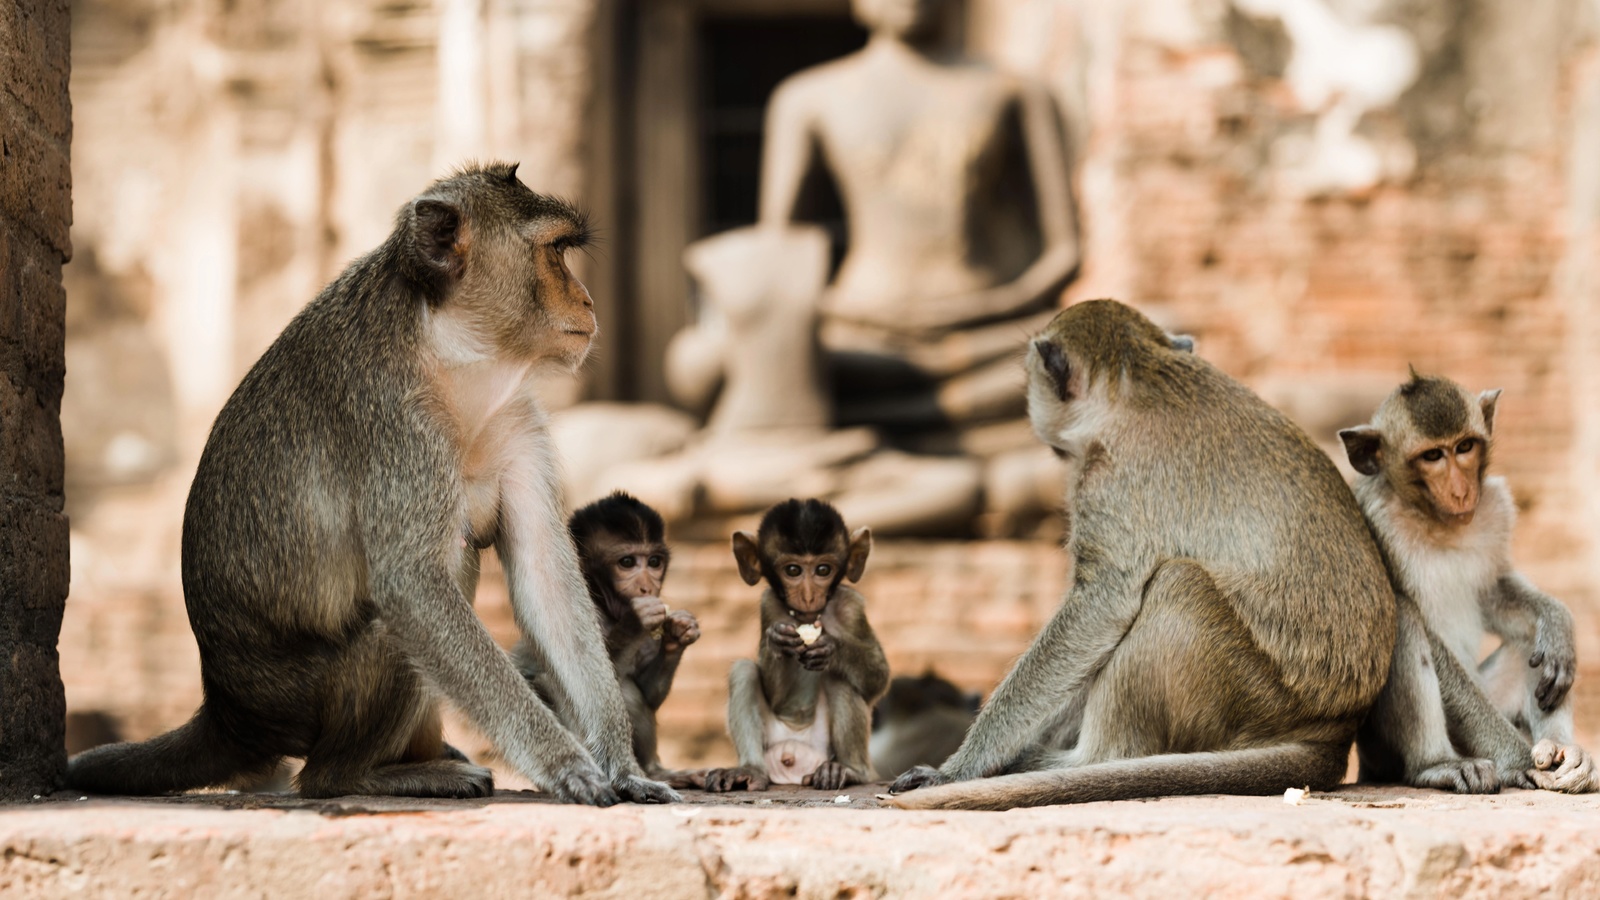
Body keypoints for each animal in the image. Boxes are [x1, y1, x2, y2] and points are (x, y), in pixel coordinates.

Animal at [60, 159, 675, 797]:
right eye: (555, 252)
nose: (587, 300)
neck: (450, 355)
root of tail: (229, 710)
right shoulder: (392, 419)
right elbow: (412, 585)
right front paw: (566, 765)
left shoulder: (518, 420)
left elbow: (547, 579)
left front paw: (622, 765)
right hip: (301, 698)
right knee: (388, 638)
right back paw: (363, 774)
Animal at [521, 486, 704, 775]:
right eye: (627, 562)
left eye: (654, 562)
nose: (647, 587)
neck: (606, 609)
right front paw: (635, 621)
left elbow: (648, 692)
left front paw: (678, 633)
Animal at [707, 496, 896, 791]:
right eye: (793, 570)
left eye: (823, 570)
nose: (808, 596)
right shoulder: (770, 605)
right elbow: (776, 696)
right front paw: (777, 642)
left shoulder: (852, 607)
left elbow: (878, 678)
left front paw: (833, 649)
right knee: (743, 671)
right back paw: (750, 770)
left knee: (839, 679)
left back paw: (850, 771)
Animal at [883, 297, 1395, 810]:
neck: (1140, 377)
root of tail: (1333, 730)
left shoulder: (1105, 480)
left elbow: (1100, 607)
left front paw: (956, 769)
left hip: (1253, 694)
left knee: (1177, 584)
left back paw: (1081, 760)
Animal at [1344, 371, 1593, 791]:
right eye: (1432, 456)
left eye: (1464, 447)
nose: (1461, 491)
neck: (1437, 521)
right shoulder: (1376, 523)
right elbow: (1423, 632)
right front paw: (1517, 758)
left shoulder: (1495, 507)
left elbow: (1494, 591)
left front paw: (1557, 622)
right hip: (1385, 750)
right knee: (1405, 618)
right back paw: (1439, 764)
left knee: (1529, 643)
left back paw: (1564, 751)